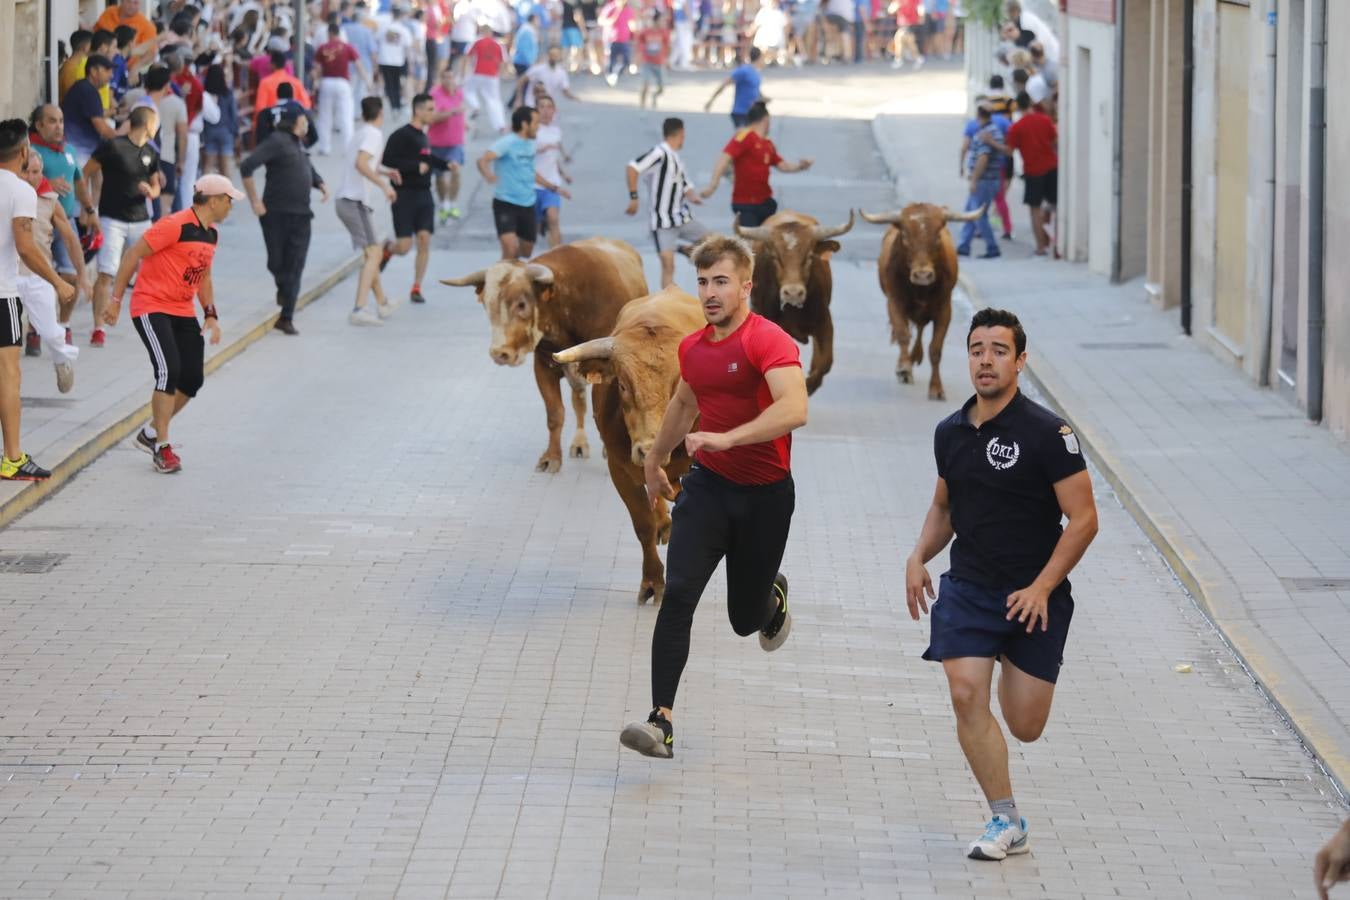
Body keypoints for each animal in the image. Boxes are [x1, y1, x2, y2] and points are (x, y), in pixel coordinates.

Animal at [442, 238, 648, 474]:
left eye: (522, 304)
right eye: (487, 304)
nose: (500, 353)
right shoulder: (543, 367)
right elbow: (555, 414)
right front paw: (551, 457)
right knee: (578, 401)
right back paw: (579, 443)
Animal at [550, 288, 707, 604]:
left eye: (677, 387)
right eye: (622, 385)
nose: (649, 450)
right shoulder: (619, 469)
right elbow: (643, 524)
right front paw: (653, 583)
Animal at [739, 213, 853, 396]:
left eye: (809, 257)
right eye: (776, 257)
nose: (793, 293)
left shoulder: (824, 321)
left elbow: (825, 363)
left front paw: (808, 385)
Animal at [864, 206, 982, 402]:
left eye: (937, 236)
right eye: (905, 235)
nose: (922, 275)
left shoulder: (944, 310)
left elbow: (935, 349)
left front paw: (936, 388)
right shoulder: (894, 303)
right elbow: (903, 334)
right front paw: (904, 368)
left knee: (920, 328)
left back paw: (916, 355)